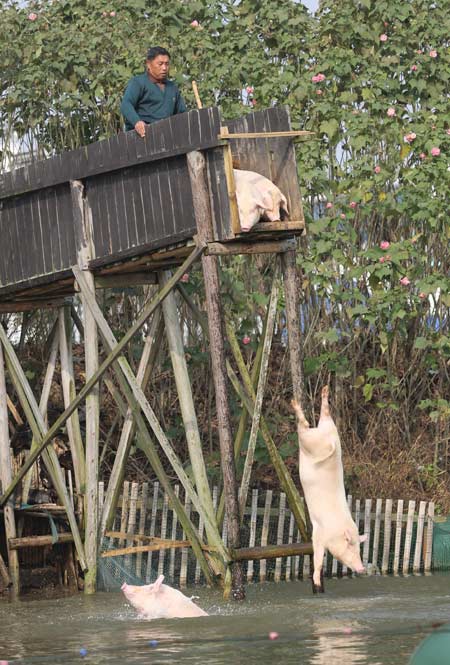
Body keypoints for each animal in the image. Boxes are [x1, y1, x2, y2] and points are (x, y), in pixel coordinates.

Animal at [292, 386, 366, 588]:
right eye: (351, 546)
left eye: (359, 548)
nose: (363, 568)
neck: (337, 530)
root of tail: (329, 438)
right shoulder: (320, 531)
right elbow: (317, 555)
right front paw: (317, 582)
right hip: (311, 441)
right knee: (304, 428)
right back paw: (296, 404)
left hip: (326, 428)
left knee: (322, 415)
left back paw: (323, 393)